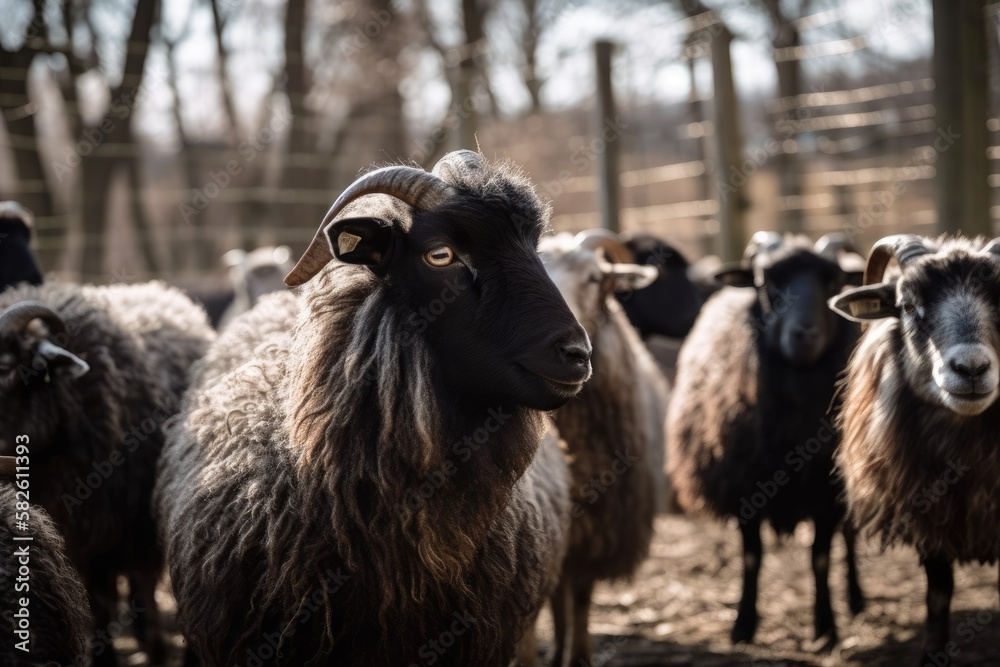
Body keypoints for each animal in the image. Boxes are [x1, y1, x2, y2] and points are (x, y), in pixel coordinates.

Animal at [0, 284, 217, 667]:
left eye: (6, 368)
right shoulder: (80, 544)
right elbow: (97, 604)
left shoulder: (135, 527)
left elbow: (138, 587)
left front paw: (155, 651)